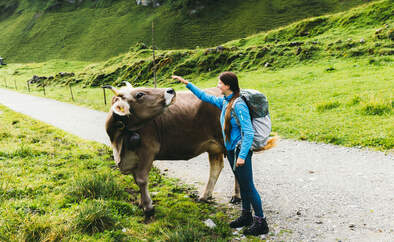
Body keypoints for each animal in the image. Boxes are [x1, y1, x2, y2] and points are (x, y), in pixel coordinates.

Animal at [103, 82, 237, 217]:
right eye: (139, 94)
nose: (171, 90)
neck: (118, 143)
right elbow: (136, 180)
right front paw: (141, 203)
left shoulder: (148, 151)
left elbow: (141, 180)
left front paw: (148, 208)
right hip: (214, 146)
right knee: (216, 167)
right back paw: (205, 196)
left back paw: (236, 196)